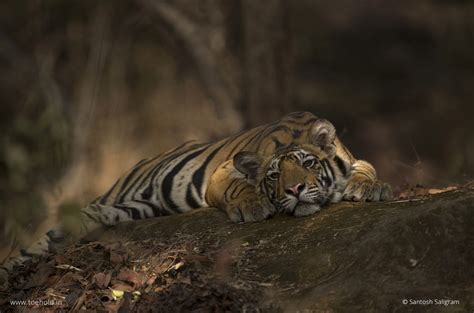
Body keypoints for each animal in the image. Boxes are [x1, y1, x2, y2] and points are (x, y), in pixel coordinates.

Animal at [0, 110, 392, 288]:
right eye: (274, 176)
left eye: (308, 164)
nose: (295, 191)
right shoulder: (223, 172)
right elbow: (238, 189)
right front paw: (252, 207)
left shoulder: (353, 159)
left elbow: (367, 167)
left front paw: (369, 188)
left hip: (127, 209)